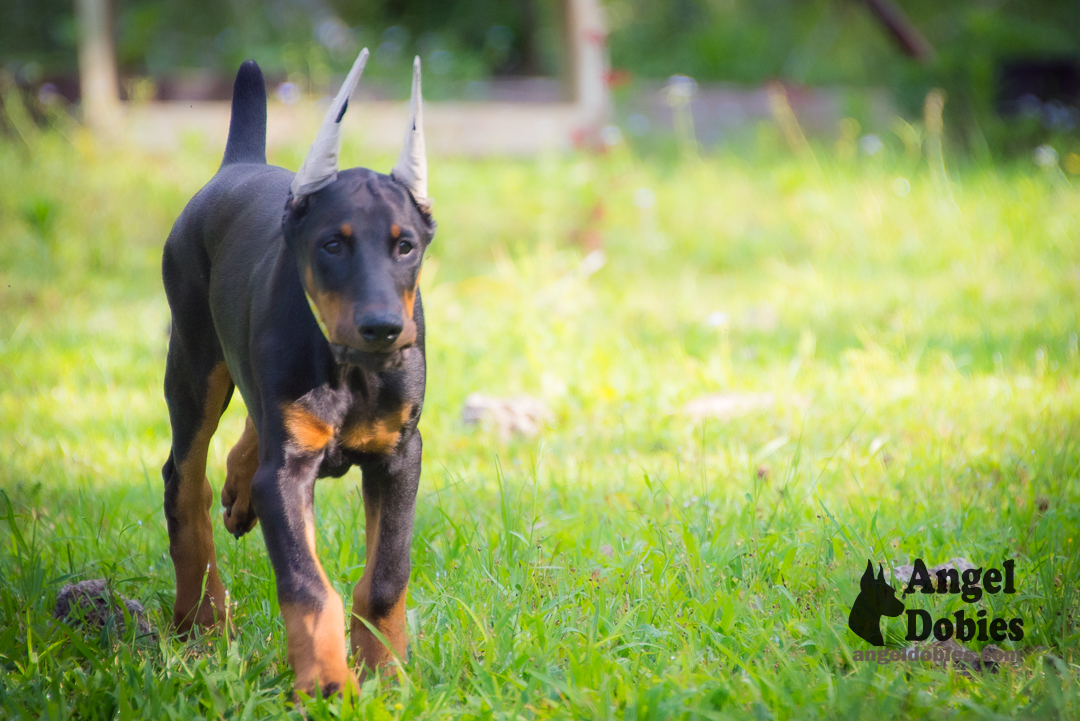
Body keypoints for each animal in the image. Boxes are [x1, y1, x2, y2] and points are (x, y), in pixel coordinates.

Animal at [159, 47, 429, 695]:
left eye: (405, 245)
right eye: (332, 244)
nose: (384, 328)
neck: (352, 372)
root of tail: (240, 163)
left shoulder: (400, 455)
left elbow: (387, 575)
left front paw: (385, 672)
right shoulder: (286, 476)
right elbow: (307, 584)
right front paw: (328, 682)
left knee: (250, 432)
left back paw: (238, 493)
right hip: (193, 361)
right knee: (184, 483)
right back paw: (202, 619)